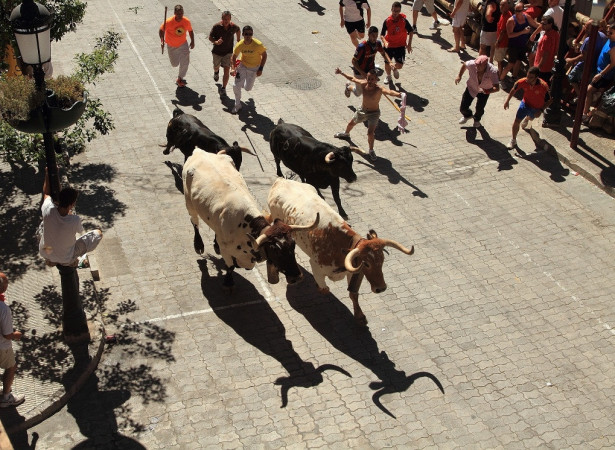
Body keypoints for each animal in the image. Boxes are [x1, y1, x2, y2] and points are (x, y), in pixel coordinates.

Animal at [268, 178, 416, 326]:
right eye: (366, 264)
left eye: (382, 261)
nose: (381, 288)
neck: (338, 245)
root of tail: (281, 180)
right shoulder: (316, 267)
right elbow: (324, 290)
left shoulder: (353, 272)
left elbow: (353, 294)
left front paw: (359, 316)